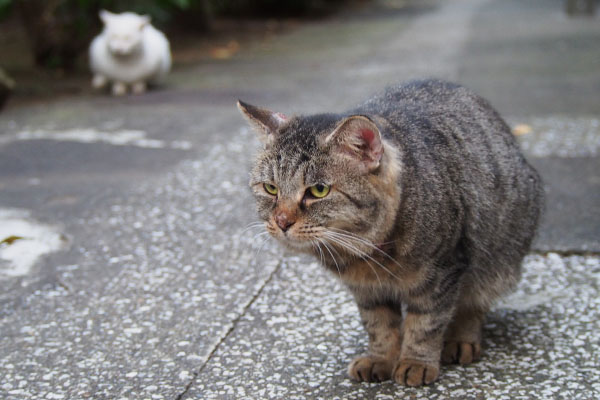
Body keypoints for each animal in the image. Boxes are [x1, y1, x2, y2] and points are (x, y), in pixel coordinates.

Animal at [239, 79, 544, 386]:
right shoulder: (367, 291)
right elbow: (380, 326)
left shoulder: (442, 273)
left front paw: (415, 362)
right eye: (271, 188)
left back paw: (461, 340)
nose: (281, 221)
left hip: (497, 263)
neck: (367, 253)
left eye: (319, 190)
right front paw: (381, 359)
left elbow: (425, 324)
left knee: (473, 304)